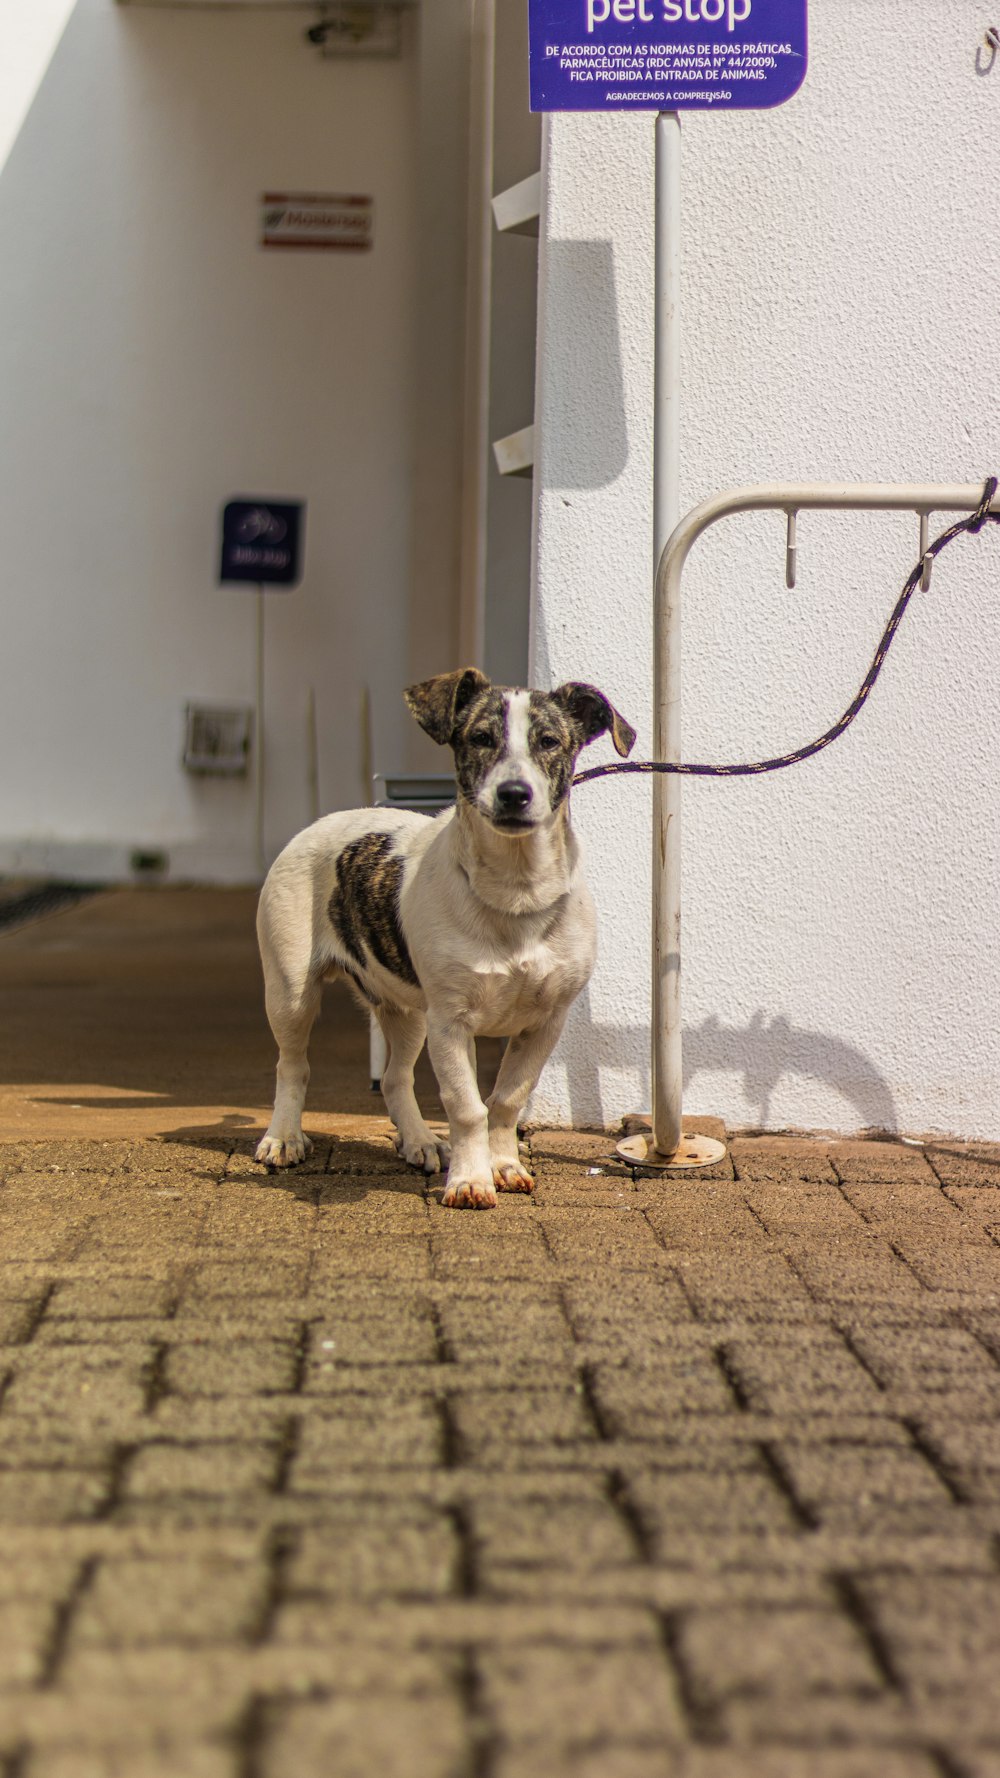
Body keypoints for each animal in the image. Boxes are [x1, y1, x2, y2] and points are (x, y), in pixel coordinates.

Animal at [252, 668, 633, 1209]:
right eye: (480, 738)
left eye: (548, 741)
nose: (514, 794)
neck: (515, 892)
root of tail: (323, 822)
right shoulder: (451, 1020)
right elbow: (466, 1104)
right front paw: (470, 1181)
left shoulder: (545, 1022)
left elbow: (507, 1099)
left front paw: (503, 1166)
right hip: (290, 992)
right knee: (292, 1065)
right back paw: (283, 1137)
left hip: (408, 1012)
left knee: (394, 1077)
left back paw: (419, 1141)